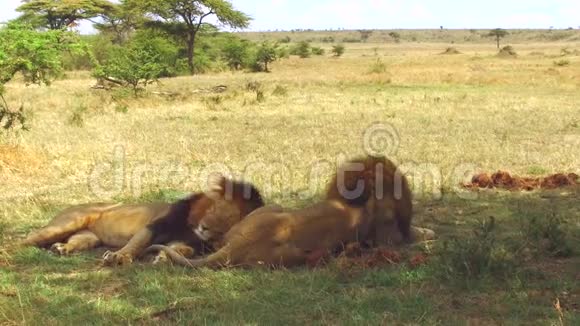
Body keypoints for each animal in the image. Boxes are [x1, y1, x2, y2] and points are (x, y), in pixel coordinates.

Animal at [20, 176, 266, 264]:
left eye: (226, 226)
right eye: (215, 209)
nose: (204, 229)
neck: (191, 227)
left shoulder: (189, 241)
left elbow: (182, 249)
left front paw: (163, 257)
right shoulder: (157, 225)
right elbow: (138, 243)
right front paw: (119, 256)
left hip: (88, 238)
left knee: (74, 242)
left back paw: (61, 249)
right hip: (69, 222)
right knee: (27, 239)